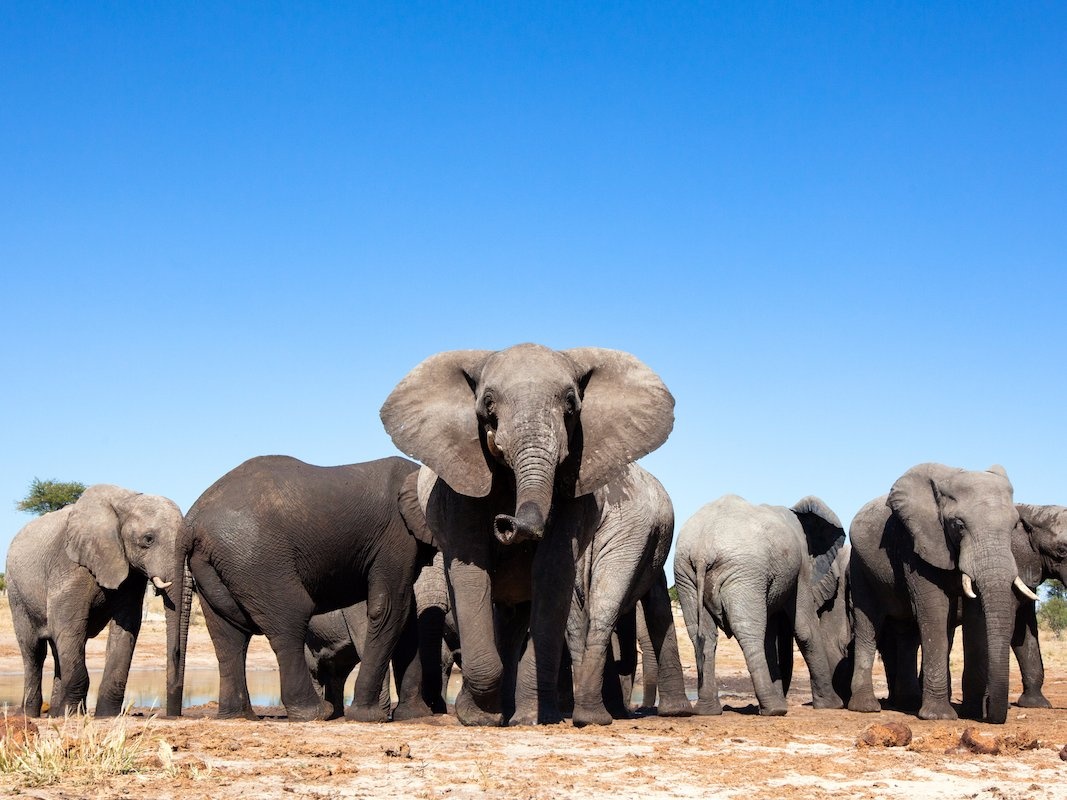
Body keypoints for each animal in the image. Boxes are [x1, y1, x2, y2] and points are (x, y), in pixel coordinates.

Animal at [6, 486, 186, 716]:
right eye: (148, 539)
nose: (173, 714)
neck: (126, 501)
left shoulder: (130, 572)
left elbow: (126, 626)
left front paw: (106, 715)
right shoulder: (70, 565)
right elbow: (68, 624)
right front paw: (72, 713)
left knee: (58, 647)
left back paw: (55, 714)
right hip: (16, 591)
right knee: (34, 651)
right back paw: (32, 714)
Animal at [168, 454, 435, 725]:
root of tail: (191, 521)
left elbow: (407, 616)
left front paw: (415, 715)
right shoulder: (397, 535)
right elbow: (390, 607)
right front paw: (369, 717)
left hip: (215, 563)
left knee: (228, 635)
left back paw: (239, 716)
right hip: (256, 557)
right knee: (289, 620)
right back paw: (316, 713)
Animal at [379, 345, 670, 725]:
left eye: (571, 404)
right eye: (488, 403)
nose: (506, 523)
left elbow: (552, 572)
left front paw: (528, 718)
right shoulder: (460, 486)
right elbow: (471, 572)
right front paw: (478, 717)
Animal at [670, 499, 845, 716]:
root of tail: (703, 550)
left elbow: (771, 636)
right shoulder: (802, 567)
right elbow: (805, 629)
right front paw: (833, 705)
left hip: (686, 574)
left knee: (702, 635)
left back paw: (708, 710)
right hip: (744, 573)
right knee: (749, 632)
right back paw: (775, 709)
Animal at [840, 460, 1032, 725]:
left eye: (1014, 527)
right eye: (959, 525)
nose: (992, 713)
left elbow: (976, 620)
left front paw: (971, 713)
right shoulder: (917, 544)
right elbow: (935, 613)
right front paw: (939, 716)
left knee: (907, 634)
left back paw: (908, 703)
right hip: (860, 567)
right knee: (869, 624)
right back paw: (866, 707)